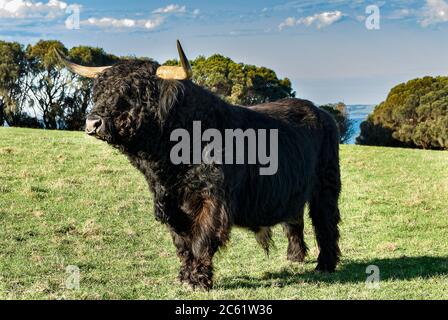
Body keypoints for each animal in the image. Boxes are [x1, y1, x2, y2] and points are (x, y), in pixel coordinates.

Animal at [57, 40, 342, 290]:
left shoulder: (212, 199)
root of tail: (321, 113)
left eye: (133, 91)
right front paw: (185, 276)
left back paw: (325, 265)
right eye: (99, 90)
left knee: (325, 221)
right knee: (295, 219)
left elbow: (202, 239)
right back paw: (295, 257)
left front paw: (197, 281)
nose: (93, 123)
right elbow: (182, 242)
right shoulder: (170, 204)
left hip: (326, 186)